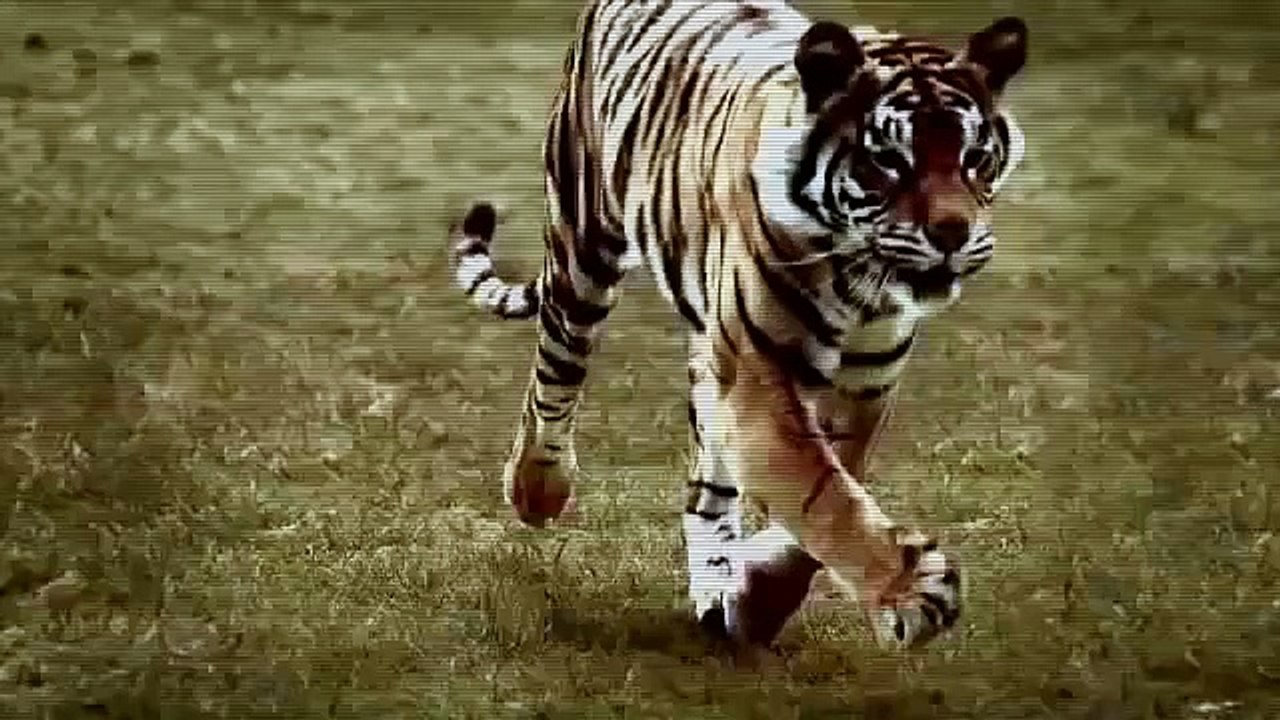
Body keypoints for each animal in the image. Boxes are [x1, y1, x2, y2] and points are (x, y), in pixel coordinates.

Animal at [448, 0, 1027, 650]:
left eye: (975, 157)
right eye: (888, 161)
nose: (953, 234)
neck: (860, 277)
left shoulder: (863, 387)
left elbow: (819, 506)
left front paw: (754, 600)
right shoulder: (759, 378)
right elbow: (821, 496)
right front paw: (913, 592)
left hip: (708, 356)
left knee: (708, 490)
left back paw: (715, 586)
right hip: (583, 247)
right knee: (555, 373)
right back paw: (537, 489)